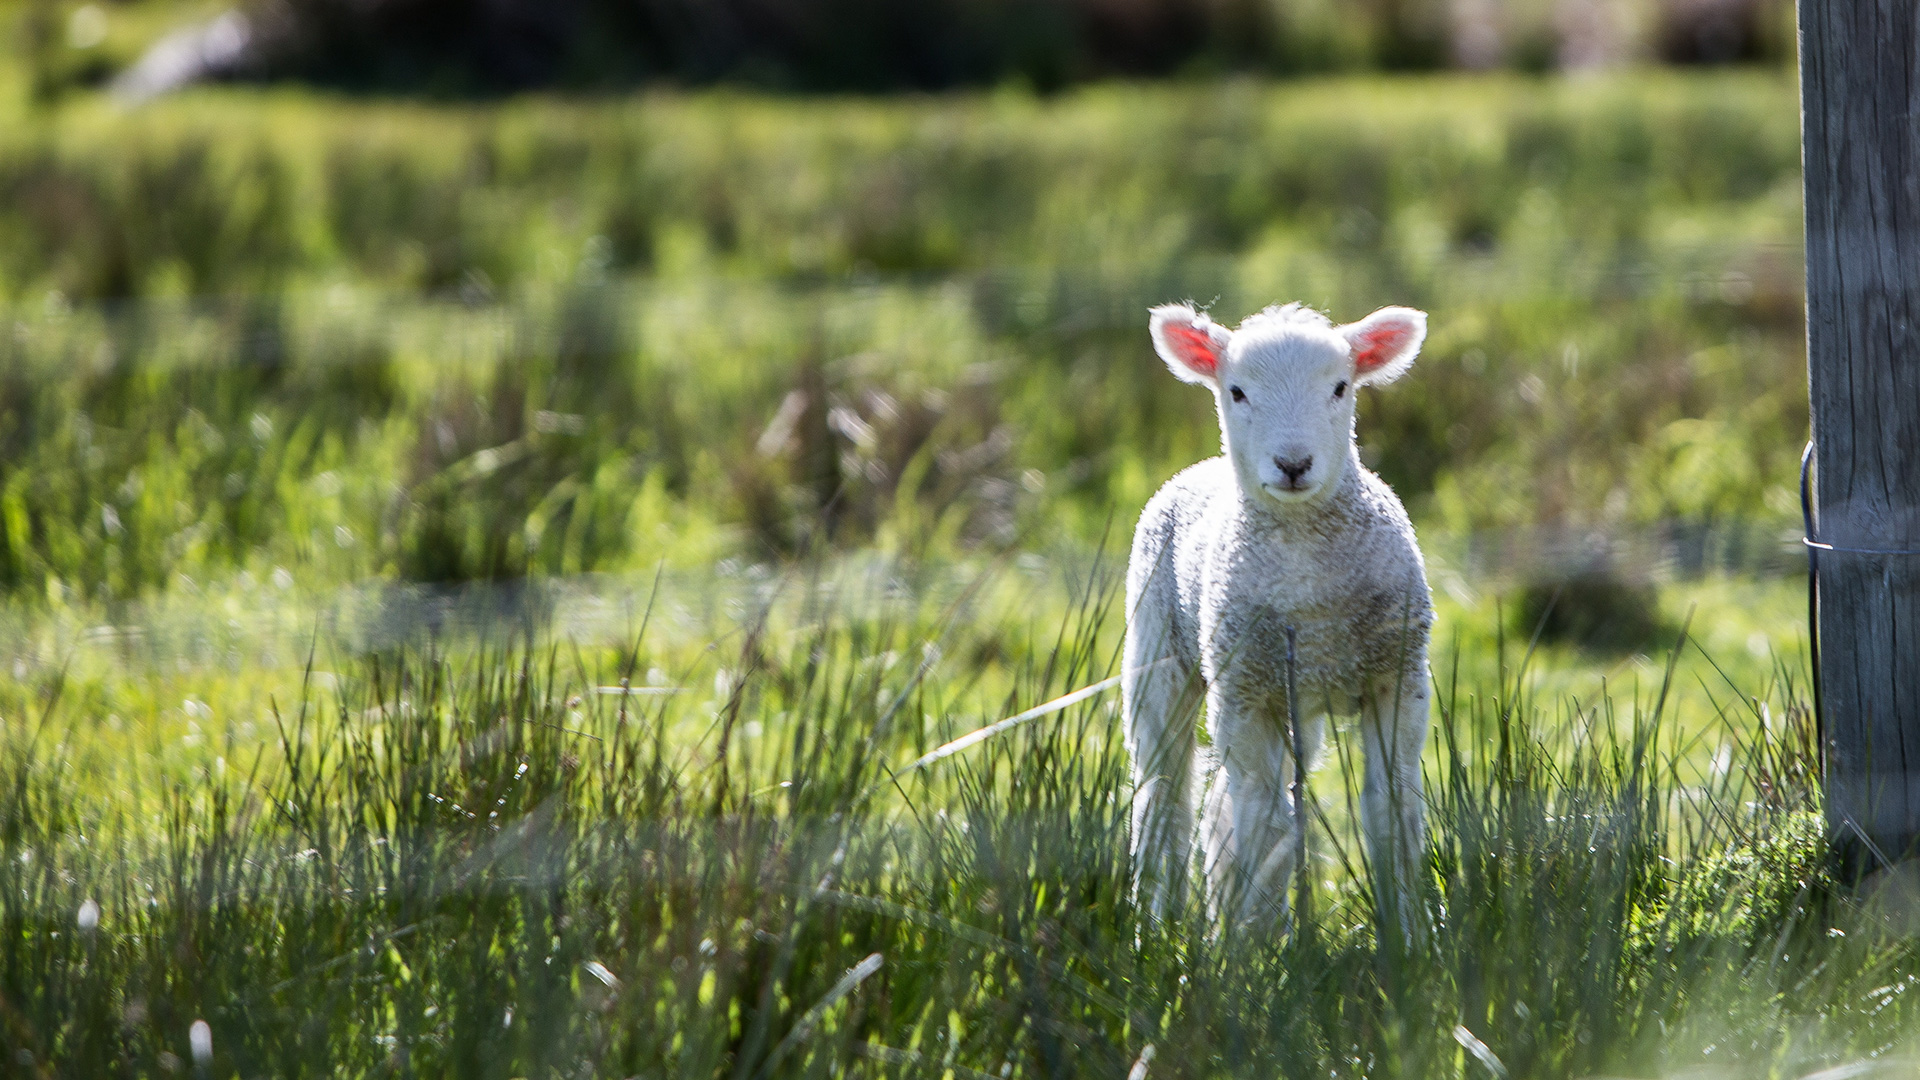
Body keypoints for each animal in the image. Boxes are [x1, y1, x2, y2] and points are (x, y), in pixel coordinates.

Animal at [1121, 295, 1428, 926]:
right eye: (1236, 391)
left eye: (1340, 387)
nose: (1293, 464)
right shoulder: (1244, 693)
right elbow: (1265, 827)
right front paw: (1256, 943)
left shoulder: (1397, 676)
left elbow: (1392, 812)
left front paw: (1408, 934)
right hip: (1158, 654)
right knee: (1165, 796)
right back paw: (1159, 924)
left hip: (1294, 699)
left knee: (1223, 804)